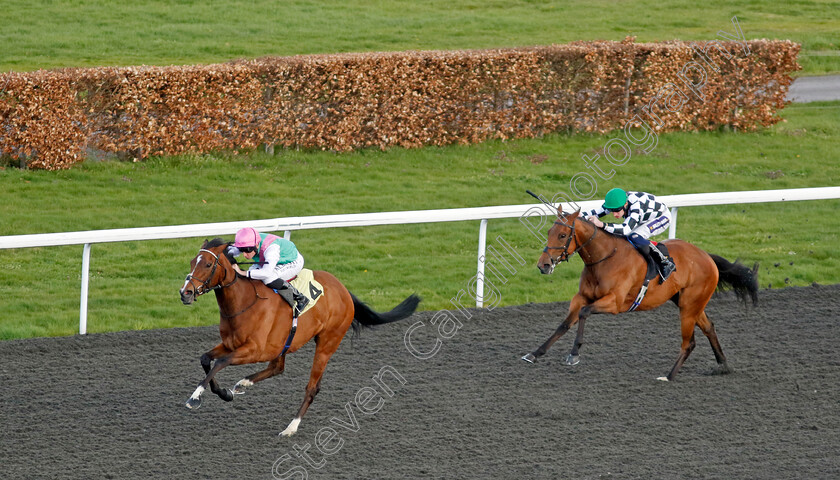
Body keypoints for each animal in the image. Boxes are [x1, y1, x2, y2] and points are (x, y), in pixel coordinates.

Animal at [181, 238, 424, 436]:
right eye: (193, 261)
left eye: (208, 264)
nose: (185, 293)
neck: (244, 302)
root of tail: (344, 290)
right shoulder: (231, 344)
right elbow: (206, 359)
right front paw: (223, 392)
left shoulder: (256, 350)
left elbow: (220, 362)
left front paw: (195, 397)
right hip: (286, 343)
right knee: (277, 367)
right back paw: (242, 384)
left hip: (327, 344)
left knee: (311, 388)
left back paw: (291, 427)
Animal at [520, 210, 756, 382]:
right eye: (549, 231)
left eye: (562, 235)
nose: (543, 265)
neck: (605, 258)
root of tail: (706, 256)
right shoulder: (580, 297)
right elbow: (564, 324)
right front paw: (534, 353)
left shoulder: (614, 303)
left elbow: (585, 313)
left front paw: (573, 354)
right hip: (688, 302)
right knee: (709, 328)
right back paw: (723, 366)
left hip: (690, 306)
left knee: (689, 342)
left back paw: (668, 376)